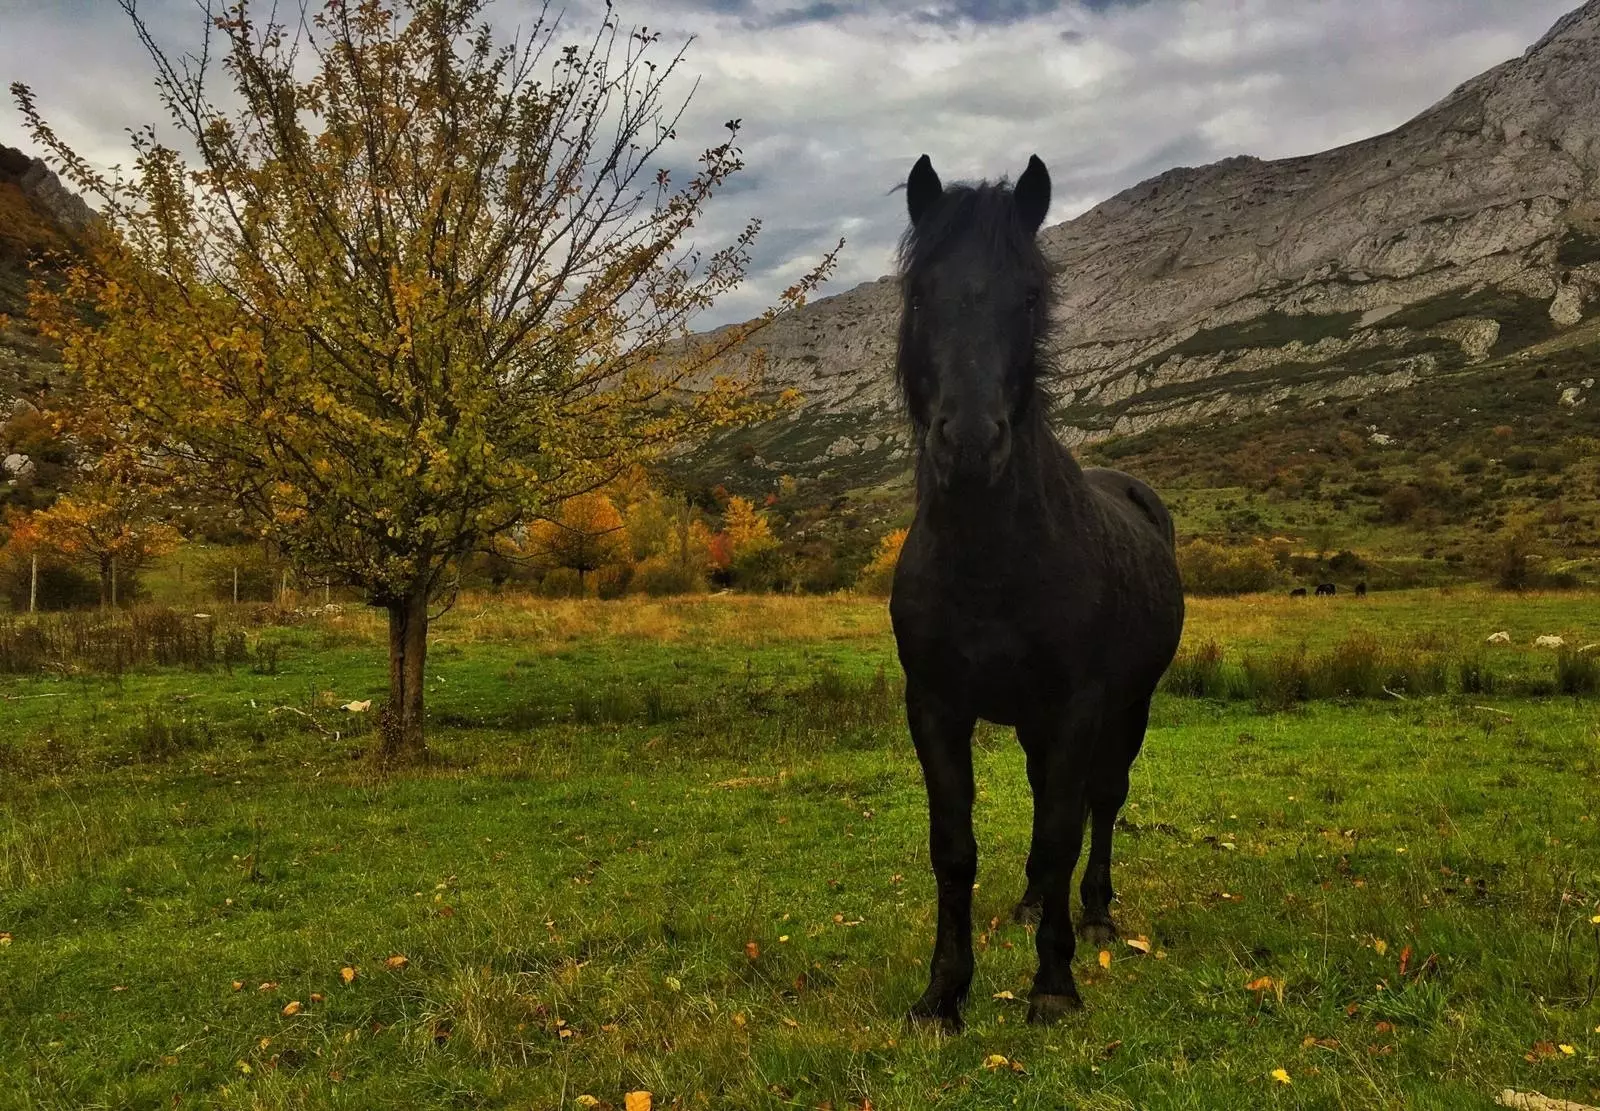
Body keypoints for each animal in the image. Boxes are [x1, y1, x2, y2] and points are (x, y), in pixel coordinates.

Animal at [896, 152, 1184, 1030]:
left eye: (1028, 296)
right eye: (920, 293)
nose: (969, 442)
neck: (993, 559)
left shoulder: (1080, 705)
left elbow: (1061, 829)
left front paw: (1053, 983)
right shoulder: (935, 706)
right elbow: (954, 846)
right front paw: (943, 993)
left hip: (1129, 707)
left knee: (1102, 801)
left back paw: (1093, 913)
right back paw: (1028, 904)